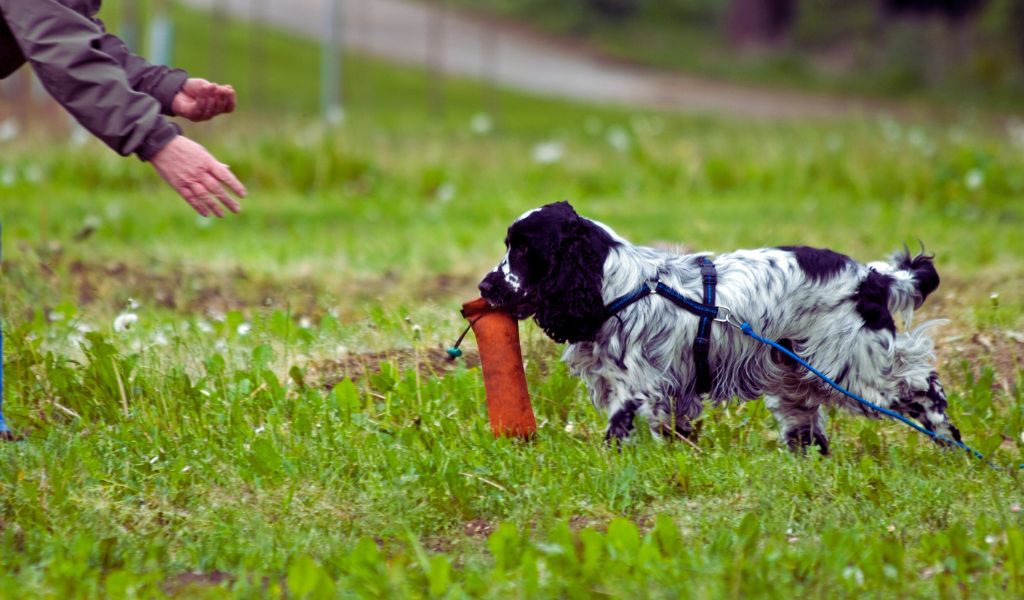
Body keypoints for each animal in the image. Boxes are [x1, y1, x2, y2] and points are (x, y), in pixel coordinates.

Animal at [479, 198, 958, 450]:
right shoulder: (674, 392)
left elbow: (619, 427)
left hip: (855, 365)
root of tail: (872, 278)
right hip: (796, 373)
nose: (485, 286)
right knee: (807, 431)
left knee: (923, 386)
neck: (616, 285)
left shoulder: (638, 385)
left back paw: (951, 443)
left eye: (524, 250)